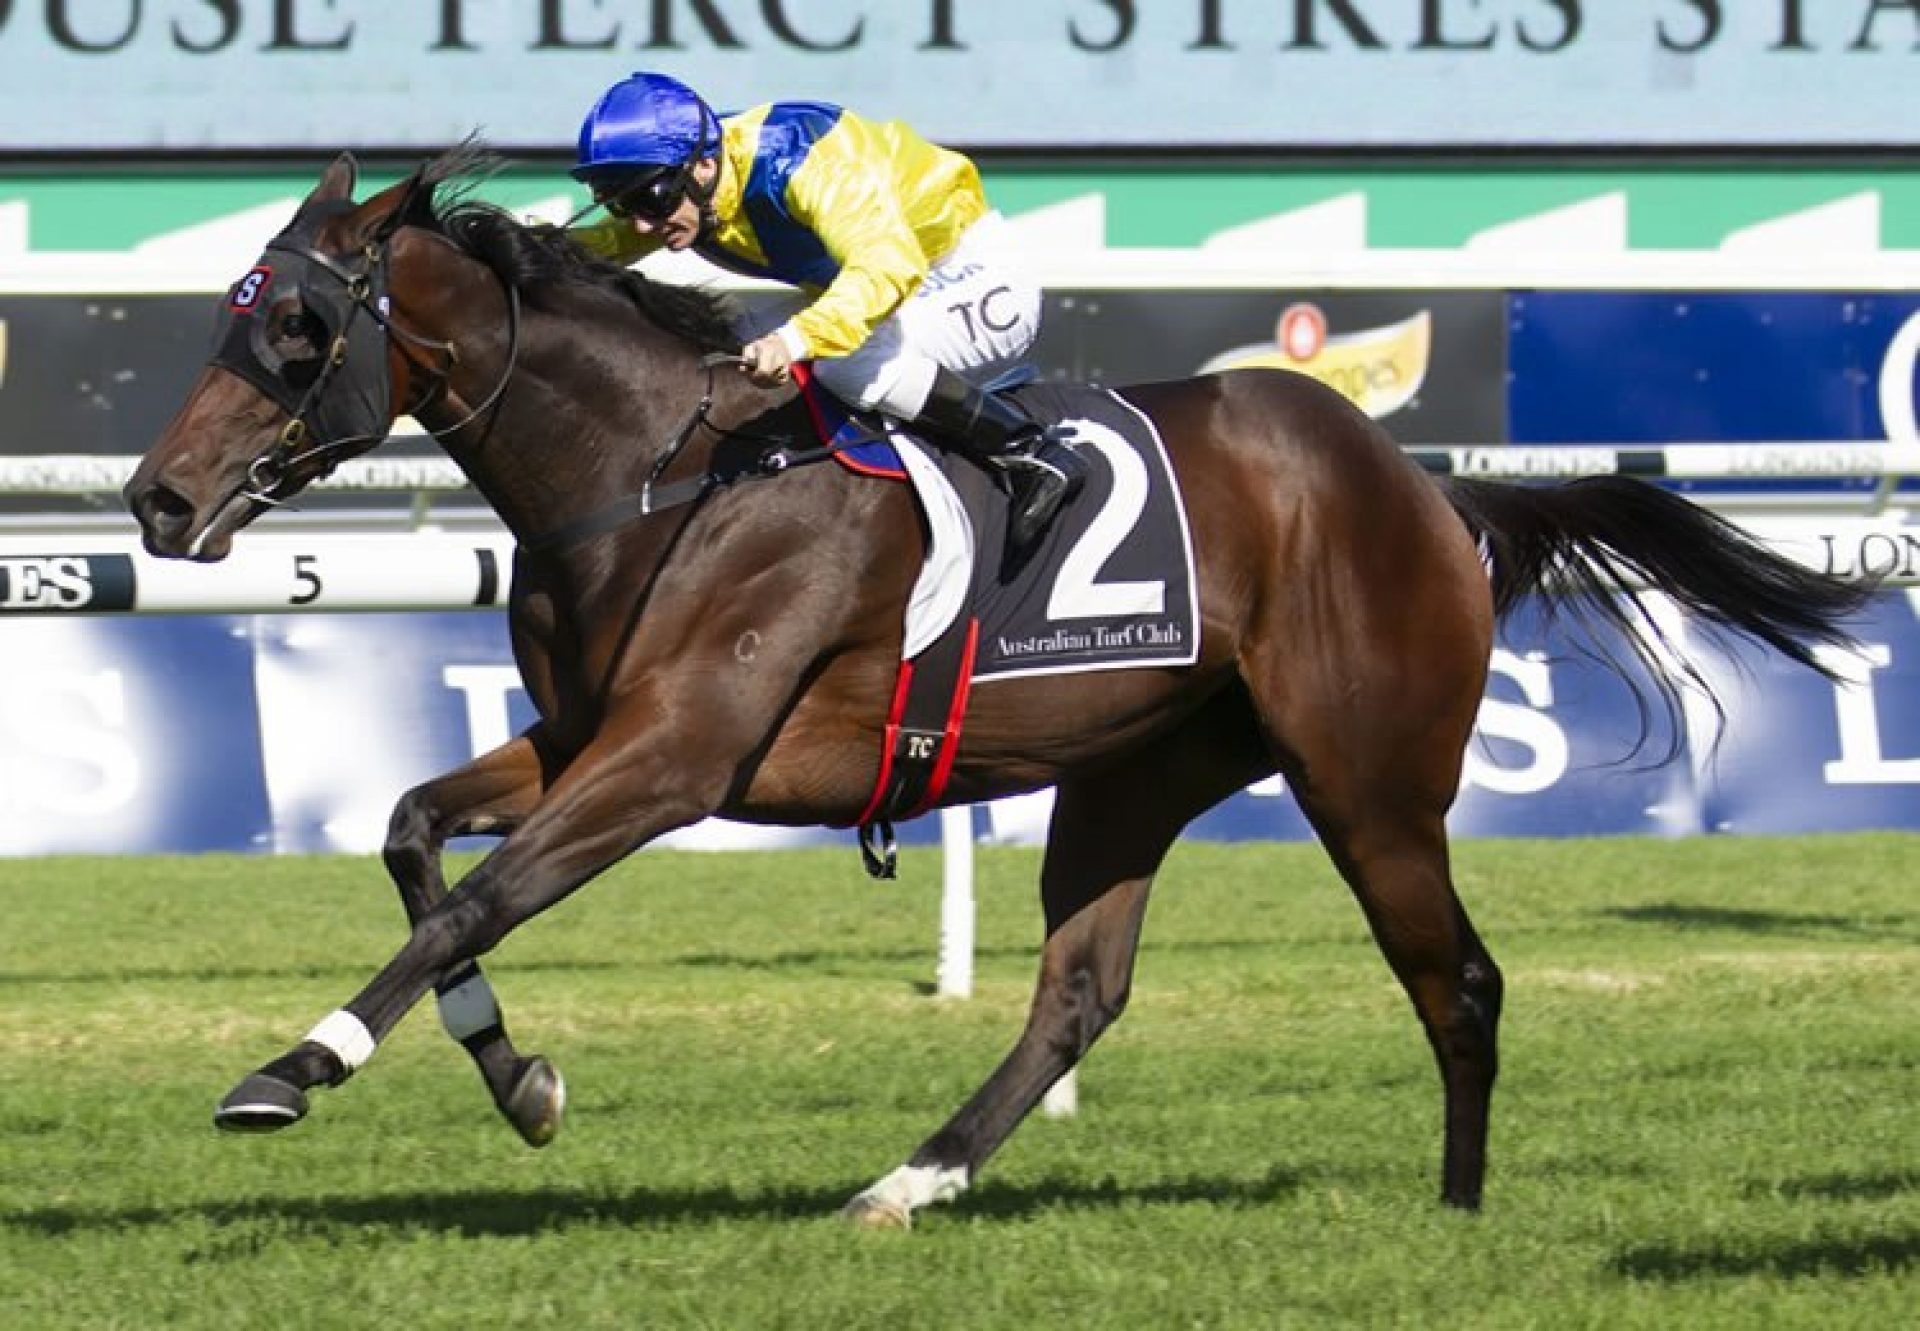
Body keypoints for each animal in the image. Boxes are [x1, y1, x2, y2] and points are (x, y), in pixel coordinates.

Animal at [123, 147, 1873, 1221]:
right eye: (235, 310)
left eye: (297, 325)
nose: (153, 497)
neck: (658, 473)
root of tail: (1431, 493)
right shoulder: (581, 735)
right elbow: (415, 836)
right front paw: (523, 1079)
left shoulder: (679, 754)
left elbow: (472, 900)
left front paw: (289, 1071)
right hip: (1137, 767)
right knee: (1081, 990)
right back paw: (910, 1179)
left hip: (1368, 775)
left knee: (1460, 978)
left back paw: (1456, 1206)